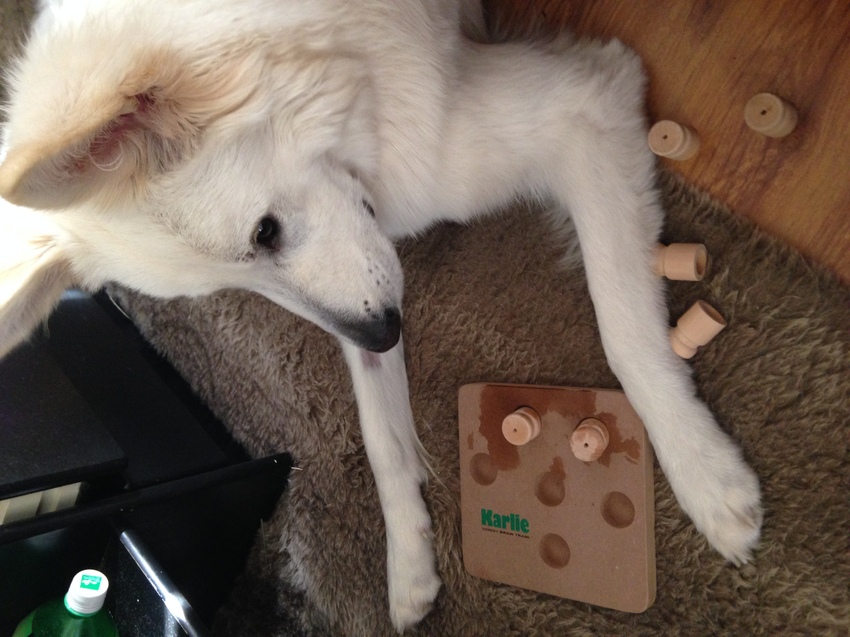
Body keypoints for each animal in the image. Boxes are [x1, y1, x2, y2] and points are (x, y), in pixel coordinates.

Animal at [0, 0, 762, 630]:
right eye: (232, 280)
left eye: (264, 233)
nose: (385, 331)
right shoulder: (368, 258)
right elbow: (381, 436)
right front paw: (409, 561)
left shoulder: (589, 99)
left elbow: (625, 331)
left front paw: (704, 477)